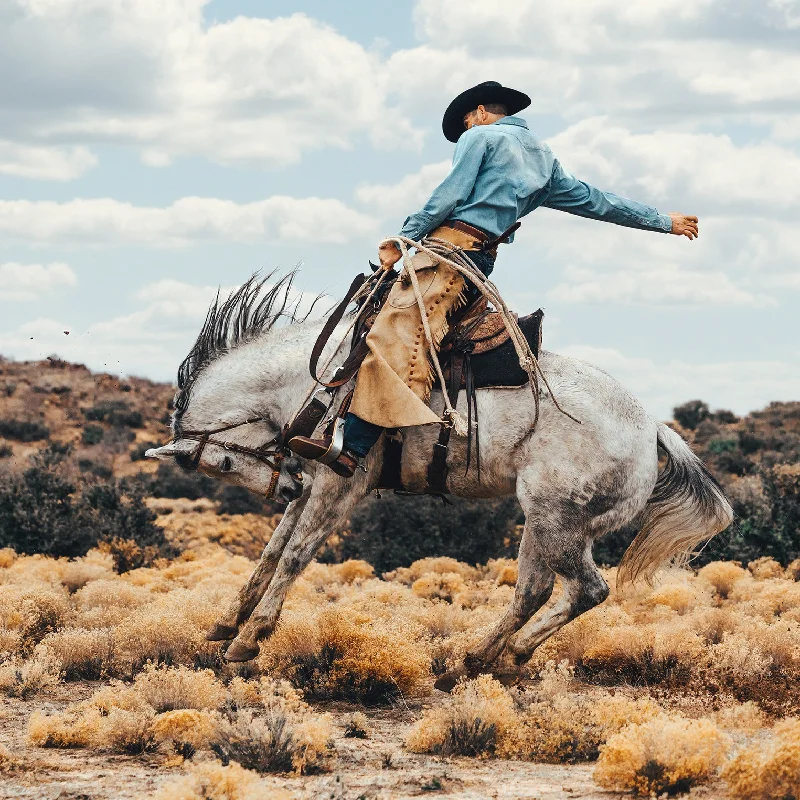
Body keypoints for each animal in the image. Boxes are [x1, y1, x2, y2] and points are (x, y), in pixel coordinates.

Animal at [147, 274, 736, 688]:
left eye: (221, 466)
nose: (284, 487)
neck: (322, 378)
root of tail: (652, 428)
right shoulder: (314, 483)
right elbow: (271, 553)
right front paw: (226, 625)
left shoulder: (339, 486)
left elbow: (295, 556)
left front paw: (248, 641)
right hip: (546, 524)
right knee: (535, 590)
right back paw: (469, 665)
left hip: (556, 522)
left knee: (586, 589)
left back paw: (507, 658)